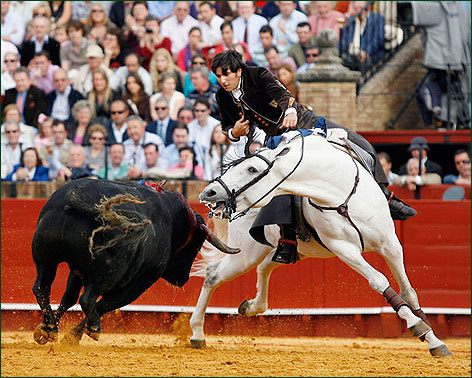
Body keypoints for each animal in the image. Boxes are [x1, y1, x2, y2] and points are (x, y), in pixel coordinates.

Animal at [32, 179, 240, 344]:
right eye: (196, 246)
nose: (183, 279)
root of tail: (81, 196)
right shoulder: (140, 283)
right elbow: (104, 305)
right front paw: (74, 335)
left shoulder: (77, 270)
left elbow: (68, 297)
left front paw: (48, 329)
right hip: (108, 273)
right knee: (88, 298)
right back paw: (92, 328)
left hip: (45, 259)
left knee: (42, 287)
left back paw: (49, 328)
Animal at [193, 133, 454, 358]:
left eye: (252, 168)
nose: (210, 191)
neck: (339, 193)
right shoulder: (344, 248)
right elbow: (379, 280)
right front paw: (417, 325)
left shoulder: (390, 244)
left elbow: (409, 292)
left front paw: (434, 339)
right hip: (245, 253)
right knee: (213, 275)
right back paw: (196, 333)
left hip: (286, 251)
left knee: (262, 269)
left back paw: (249, 307)